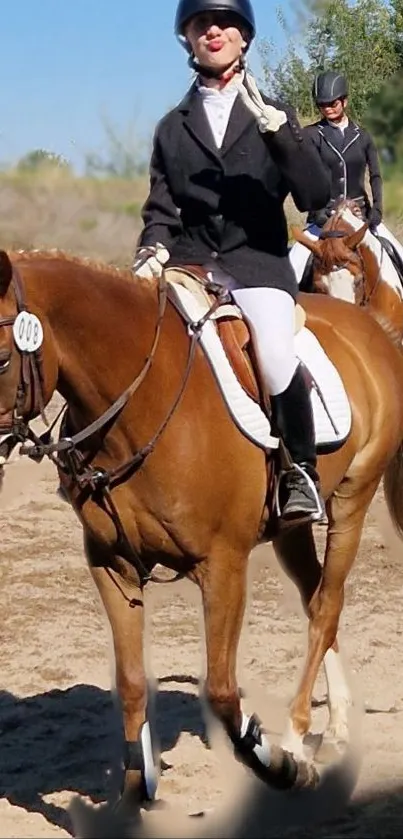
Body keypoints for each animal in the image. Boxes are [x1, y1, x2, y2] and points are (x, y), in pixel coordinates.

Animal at [1, 248, 403, 808]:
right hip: (291, 530)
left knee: (327, 607)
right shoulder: (111, 565)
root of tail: (370, 327)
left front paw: (281, 766)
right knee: (316, 599)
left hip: (352, 500)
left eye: (0, 358)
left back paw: (296, 737)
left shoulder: (223, 567)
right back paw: (339, 727)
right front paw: (134, 793)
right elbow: (131, 682)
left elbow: (221, 693)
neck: (140, 399)